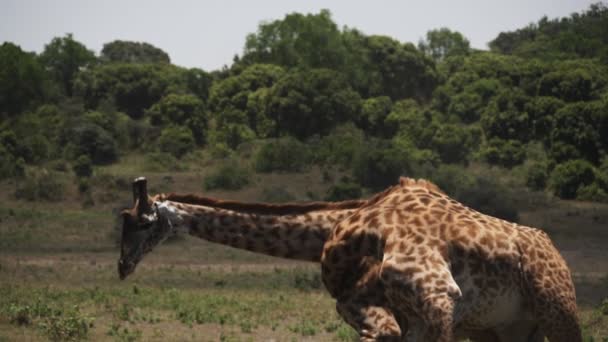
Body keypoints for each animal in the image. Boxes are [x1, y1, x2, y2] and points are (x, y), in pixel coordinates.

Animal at [320, 178, 580, 340]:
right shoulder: (418, 315)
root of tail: (552, 246)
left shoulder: (437, 294)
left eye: (349, 310)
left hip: (557, 309)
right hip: (511, 327)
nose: (384, 333)